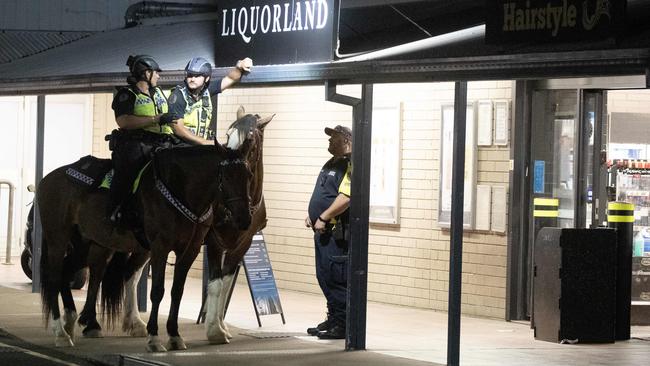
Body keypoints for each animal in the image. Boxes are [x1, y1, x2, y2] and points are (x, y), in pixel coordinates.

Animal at [36, 141, 253, 352]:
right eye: (226, 176)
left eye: (249, 175)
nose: (244, 219)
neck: (181, 189)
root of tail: (48, 179)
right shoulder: (160, 248)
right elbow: (157, 291)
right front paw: (154, 338)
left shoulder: (189, 250)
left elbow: (177, 291)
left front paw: (174, 335)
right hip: (58, 239)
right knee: (55, 278)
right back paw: (60, 332)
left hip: (86, 244)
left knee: (67, 273)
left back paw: (72, 322)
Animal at [202, 106, 274, 344]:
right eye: (228, 135)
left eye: (249, 137)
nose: (228, 162)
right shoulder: (215, 242)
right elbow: (215, 284)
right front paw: (214, 330)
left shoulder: (243, 244)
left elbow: (225, 284)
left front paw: (221, 326)